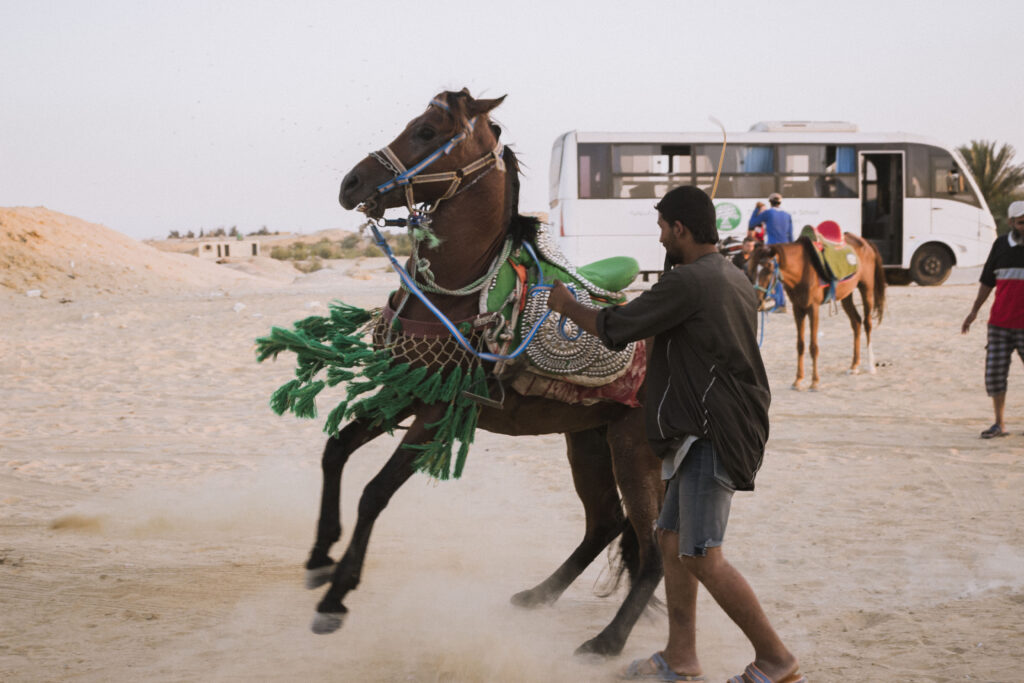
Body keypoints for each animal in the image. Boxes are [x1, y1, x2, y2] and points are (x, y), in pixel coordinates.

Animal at [283, 89, 664, 656]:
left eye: (425, 131)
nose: (350, 185)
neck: (457, 291)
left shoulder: (435, 410)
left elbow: (375, 492)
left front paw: (336, 597)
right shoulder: (404, 390)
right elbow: (336, 451)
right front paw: (319, 559)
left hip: (634, 448)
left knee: (655, 549)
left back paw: (606, 644)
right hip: (587, 438)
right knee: (604, 524)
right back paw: (537, 596)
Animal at [749, 232, 886, 390]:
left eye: (769, 269)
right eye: (752, 269)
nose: (757, 302)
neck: (802, 269)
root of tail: (865, 242)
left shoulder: (813, 308)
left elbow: (813, 347)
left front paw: (814, 381)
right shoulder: (798, 308)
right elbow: (800, 345)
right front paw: (798, 380)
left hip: (866, 289)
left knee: (867, 324)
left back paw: (870, 366)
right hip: (846, 295)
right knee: (856, 322)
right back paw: (854, 366)